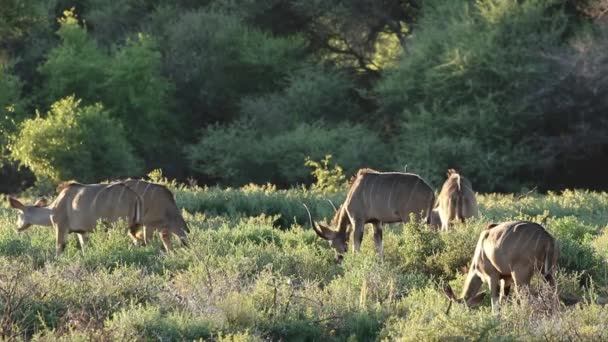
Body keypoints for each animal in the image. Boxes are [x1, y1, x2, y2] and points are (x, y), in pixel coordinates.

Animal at [8, 183, 142, 255]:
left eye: (18, 214)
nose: (17, 228)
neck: (53, 209)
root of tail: (134, 195)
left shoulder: (61, 227)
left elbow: (59, 248)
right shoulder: (82, 232)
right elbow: (84, 248)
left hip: (117, 227)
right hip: (132, 228)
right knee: (138, 242)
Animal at [306, 168, 434, 262]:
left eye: (332, 244)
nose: (338, 259)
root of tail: (430, 191)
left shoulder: (357, 221)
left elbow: (356, 246)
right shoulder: (376, 222)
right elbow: (379, 247)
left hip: (412, 220)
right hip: (426, 221)